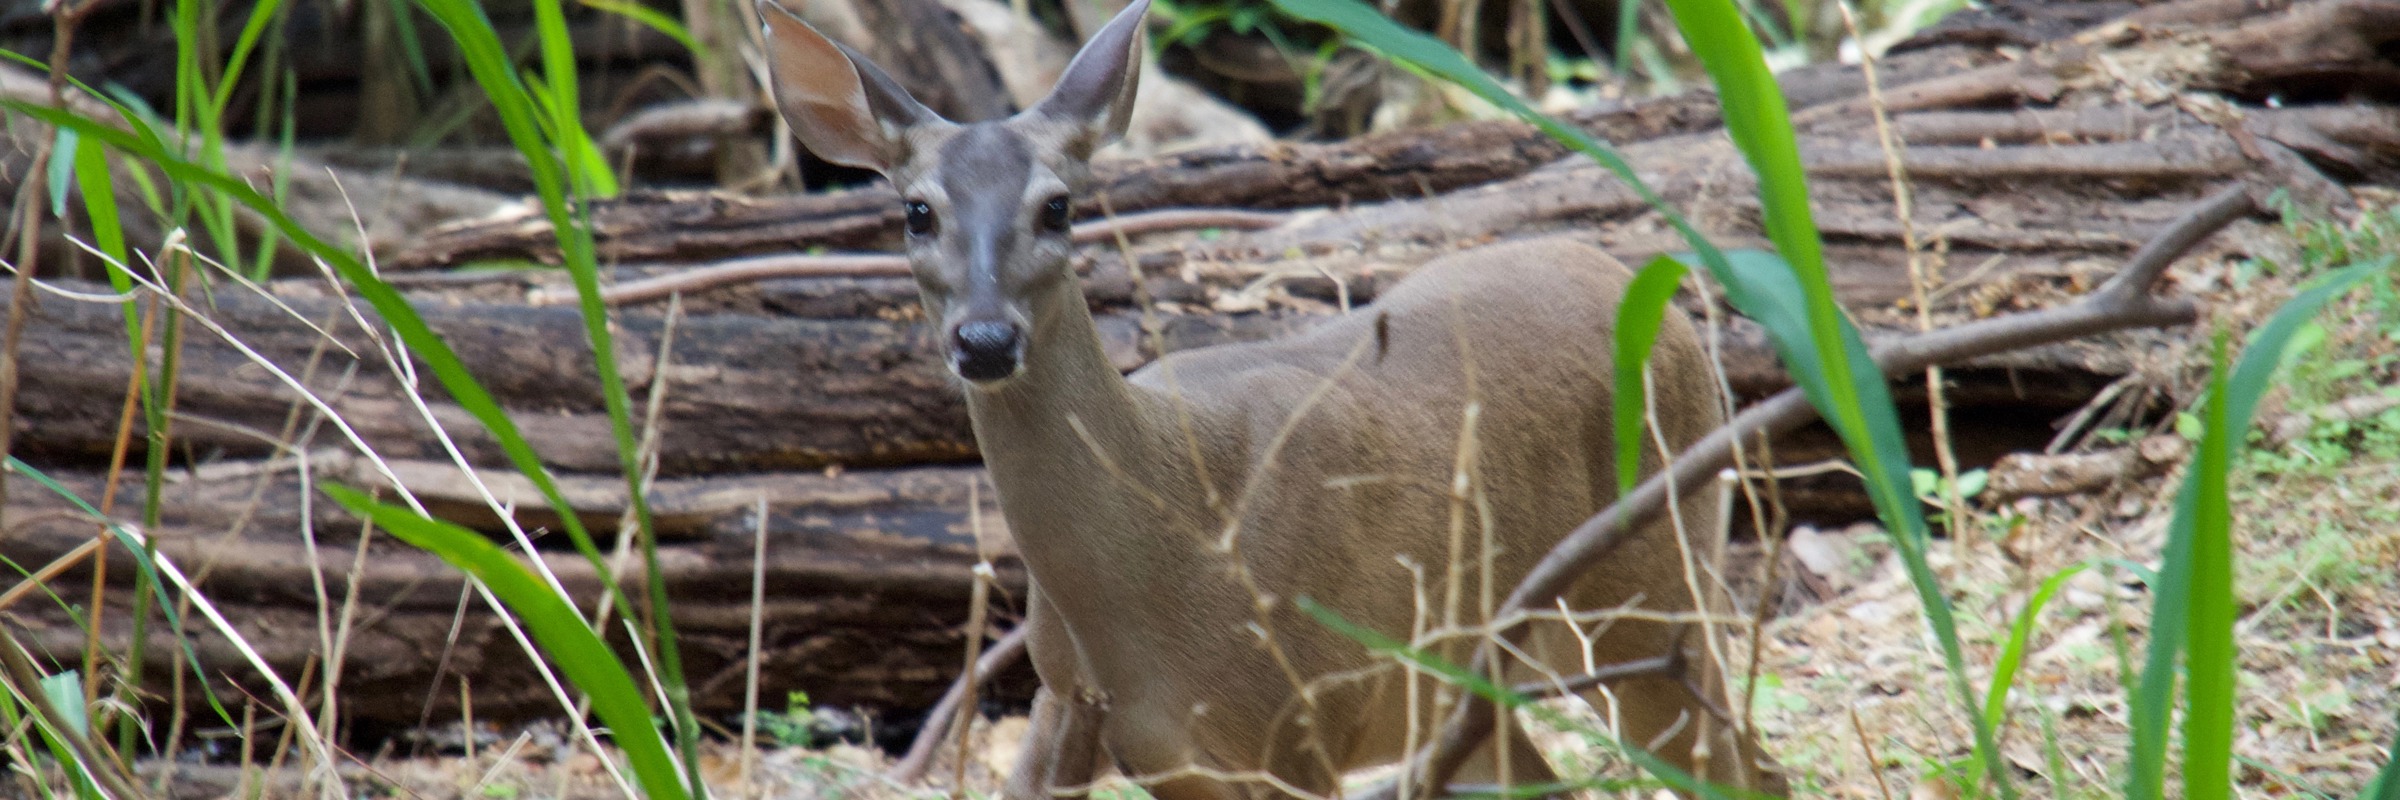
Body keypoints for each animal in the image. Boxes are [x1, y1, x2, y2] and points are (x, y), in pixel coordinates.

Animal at [759, 1, 1782, 796]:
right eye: (916, 210)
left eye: (1058, 205)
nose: (984, 341)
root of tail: (1657, 298)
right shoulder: (1077, 709)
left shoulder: (1304, 713)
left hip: (1657, 580)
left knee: (1738, 764)